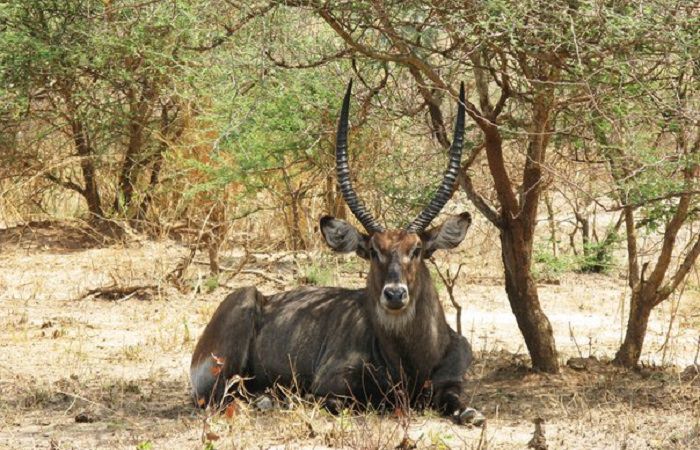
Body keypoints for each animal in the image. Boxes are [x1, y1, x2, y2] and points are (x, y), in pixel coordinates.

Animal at [189, 82, 478, 424]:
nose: (395, 294)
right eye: (373, 251)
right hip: (236, 326)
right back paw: (269, 400)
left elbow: (461, 405)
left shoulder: (451, 382)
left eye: (417, 249)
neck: (411, 360)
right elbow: (354, 401)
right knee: (222, 397)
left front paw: (470, 414)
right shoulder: (331, 385)